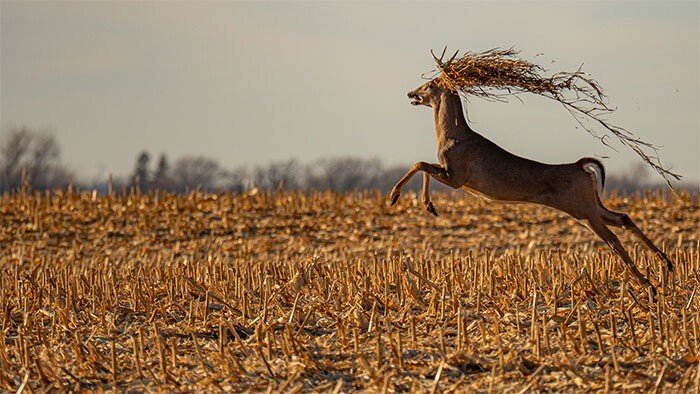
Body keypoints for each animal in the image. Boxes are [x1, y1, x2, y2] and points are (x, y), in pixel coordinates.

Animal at [392, 49, 676, 294]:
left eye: (430, 84)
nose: (410, 93)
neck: (452, 135)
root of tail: (580, 166)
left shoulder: (458, 175)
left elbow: (419, 164)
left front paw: (398, 196)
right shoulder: (453, 175)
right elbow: (423, 166)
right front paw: (428, 206)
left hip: (581, 207)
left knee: (613, 239)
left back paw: (649, 284)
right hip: (589, 204)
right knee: (623, 218)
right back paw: (666, 264)